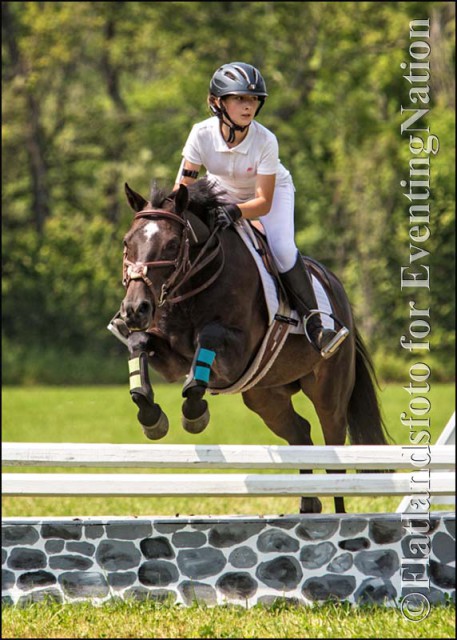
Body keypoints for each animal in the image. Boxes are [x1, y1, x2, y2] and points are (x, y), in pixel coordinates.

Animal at [116, 178, 388, 512]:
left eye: (171, 244)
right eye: (127, 242)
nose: (134, 309)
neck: (197, 280)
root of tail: (336, 287)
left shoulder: (235, 356)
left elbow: (208, 339)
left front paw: (194, 413)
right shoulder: (172, 359)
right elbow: (139, 341)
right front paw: (150, 415)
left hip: (329, 394)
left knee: (333, 452)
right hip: (265, 396)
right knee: (301, 434)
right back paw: (308, 505)